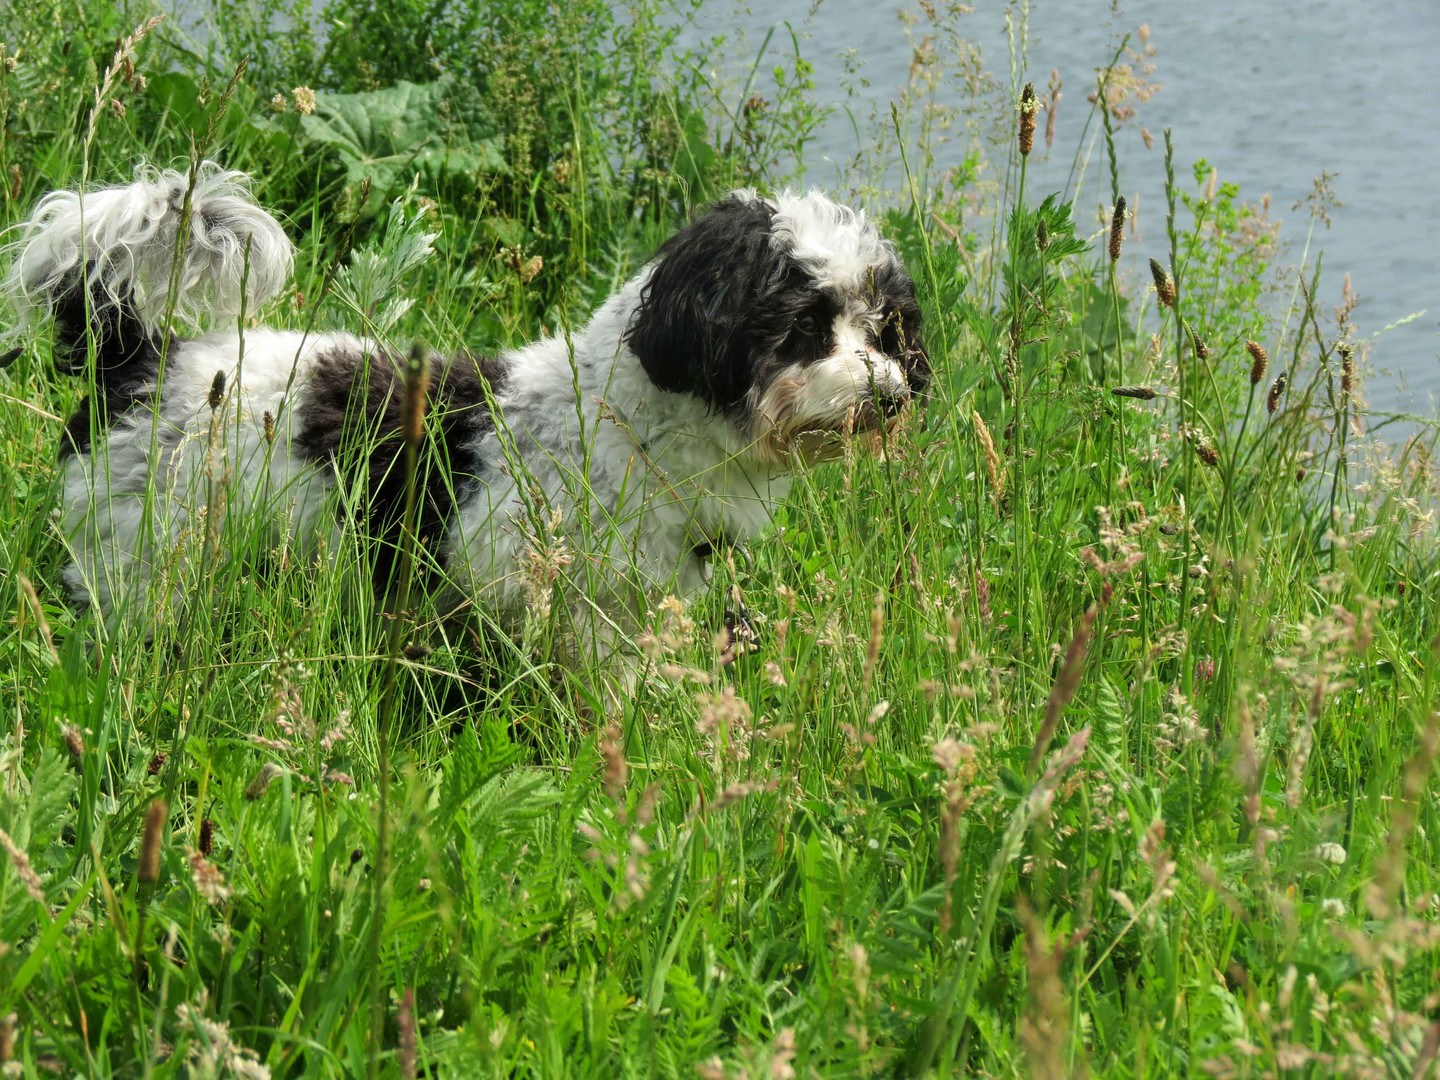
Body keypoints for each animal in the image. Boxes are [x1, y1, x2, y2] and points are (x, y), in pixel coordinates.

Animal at [2, 164, 933, 656]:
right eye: (804, 326)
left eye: (886, 327)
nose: (892, 393)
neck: (626, 426)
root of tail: (139, 356)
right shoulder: (549, 588)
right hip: (143, 563)